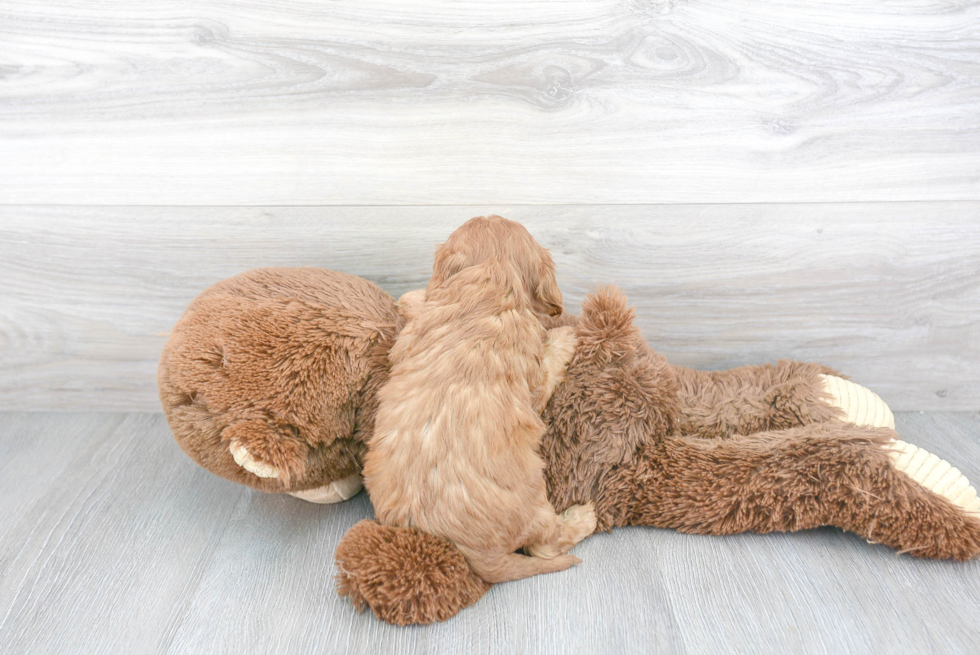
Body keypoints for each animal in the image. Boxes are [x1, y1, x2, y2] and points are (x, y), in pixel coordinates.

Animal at [362, 215, 596, 584]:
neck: (488, 283)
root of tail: (474, 556)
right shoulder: (534, 380)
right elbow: (550, 363)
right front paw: (565, 335)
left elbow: (422, 302)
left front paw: (411, 298)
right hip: (536, 504)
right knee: (545, 546)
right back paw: (584, 516)